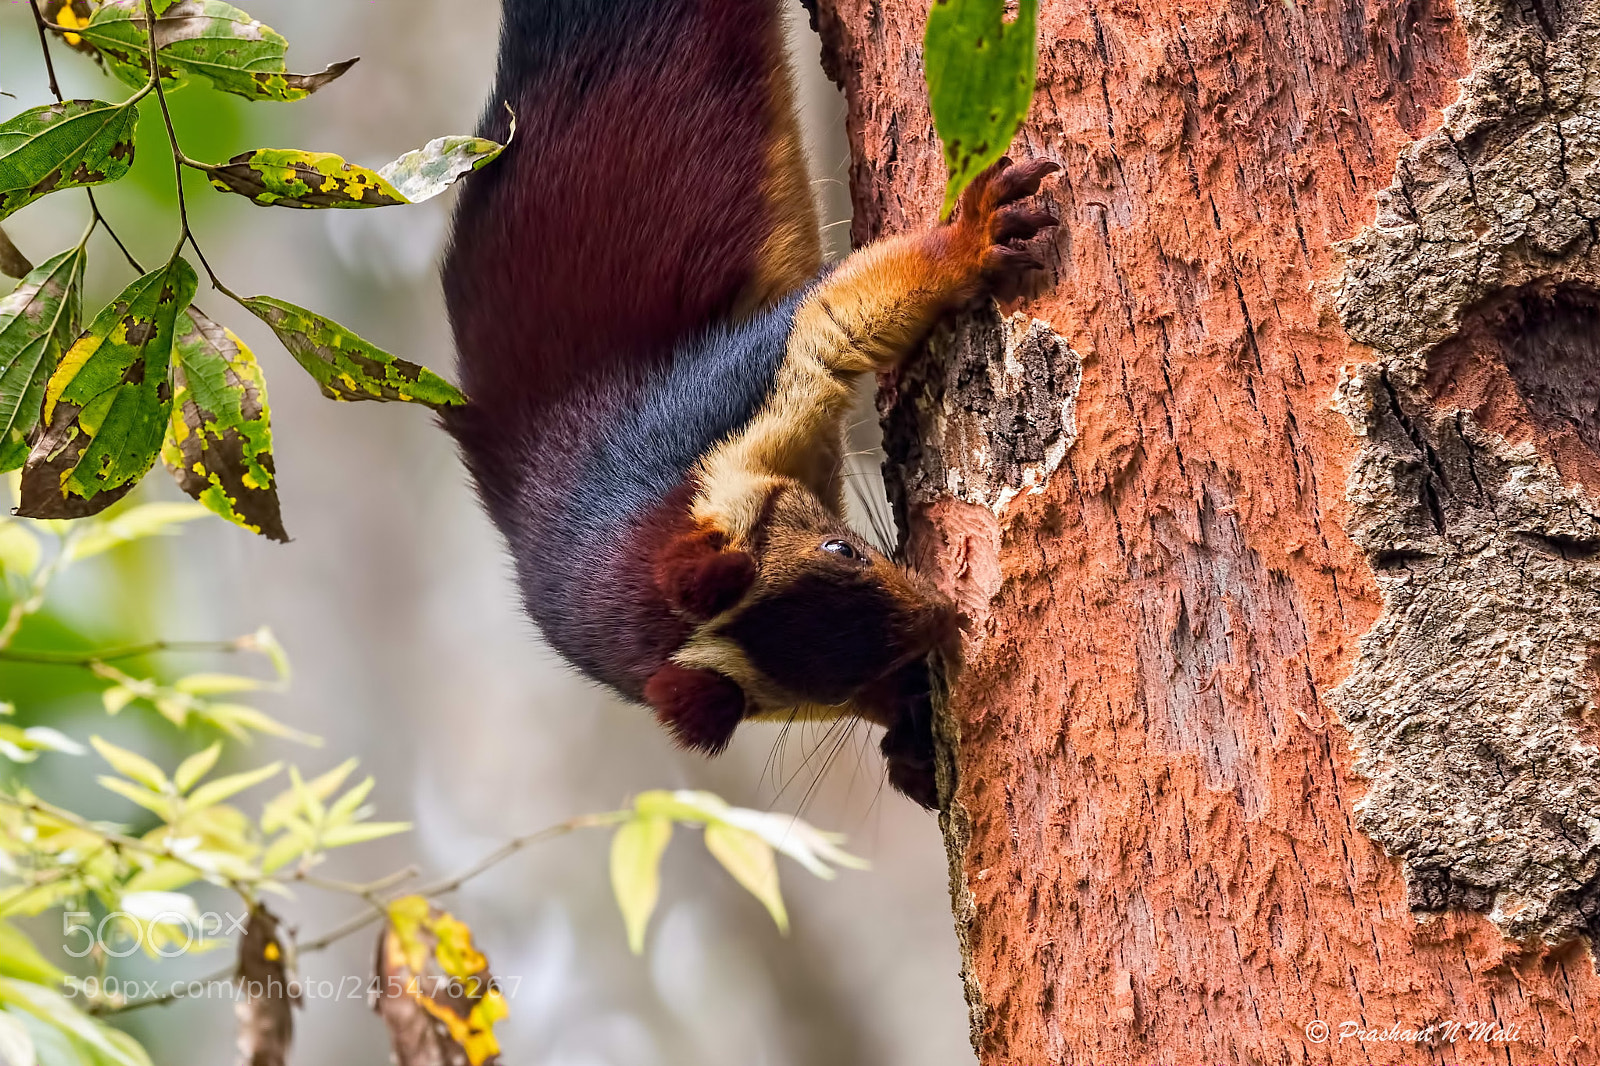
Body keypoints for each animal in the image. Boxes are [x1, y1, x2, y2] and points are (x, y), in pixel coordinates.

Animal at [439, 0, 1059, 809]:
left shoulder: (707, 408)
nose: (942, 618)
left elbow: (830, 320)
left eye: (843, 550)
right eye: (827, 695)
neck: (633, 535)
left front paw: (968, 242)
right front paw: (911, 747)